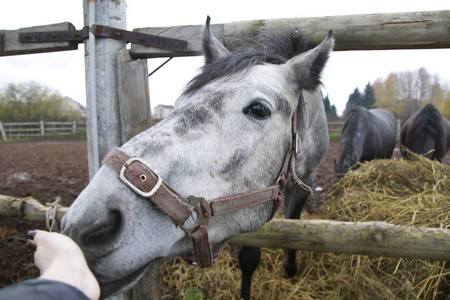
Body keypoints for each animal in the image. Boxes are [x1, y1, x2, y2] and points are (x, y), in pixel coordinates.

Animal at [61, 17, 332, 298]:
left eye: (259, 109)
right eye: (180, 102)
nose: (82, 227)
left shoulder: (304, 182)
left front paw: (290, 269)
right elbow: (249, 257)